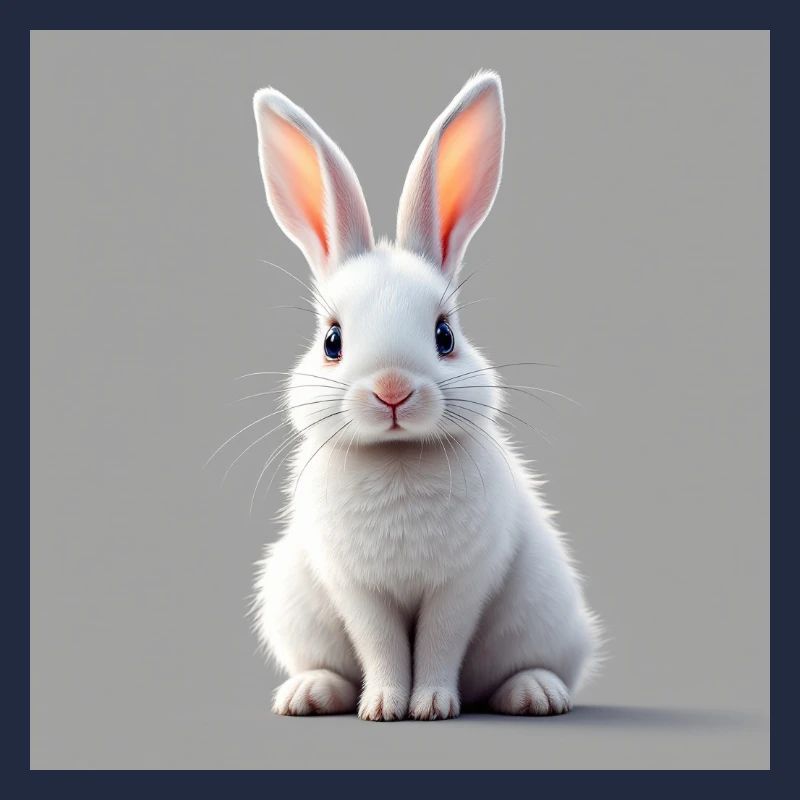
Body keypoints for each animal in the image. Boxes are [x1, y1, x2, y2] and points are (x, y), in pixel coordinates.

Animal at [246, 71, 600, 721]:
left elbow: (439, 642)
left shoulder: (461, 585)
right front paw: (385, 706)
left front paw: (431, 705)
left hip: (544, 612)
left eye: (445, 335)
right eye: (332, 340)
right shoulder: (356, 590)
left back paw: (535, 693)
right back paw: (309, 693)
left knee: (517, 668)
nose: (392, 390)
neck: (398, 458)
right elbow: (382, 644)